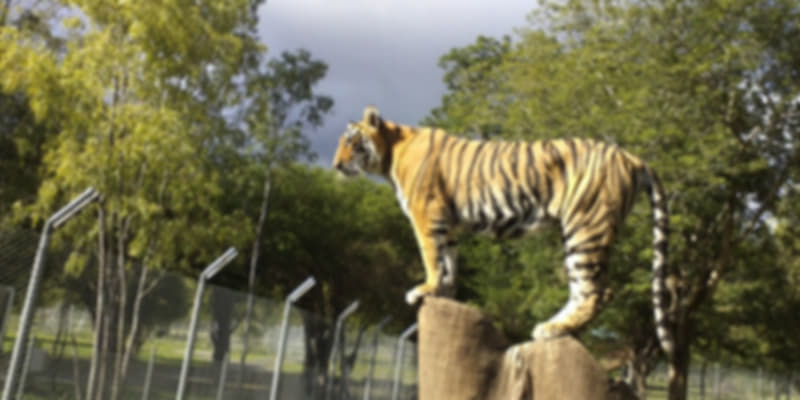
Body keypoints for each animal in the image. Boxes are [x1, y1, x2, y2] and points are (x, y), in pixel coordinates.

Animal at [332, 105, 674, 356]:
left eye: (350, 142)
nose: (335, 166)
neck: (391, 153)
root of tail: (631, 157)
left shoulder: (426, 215)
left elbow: (431, 256)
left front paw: (425, 289)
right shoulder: (448, 224)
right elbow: (448, 262)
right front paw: (444, 293)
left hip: (586, 227)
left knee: (598, 290)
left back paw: (555, 329)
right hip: (579, 233)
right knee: (583, 288)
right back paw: (552, 326)